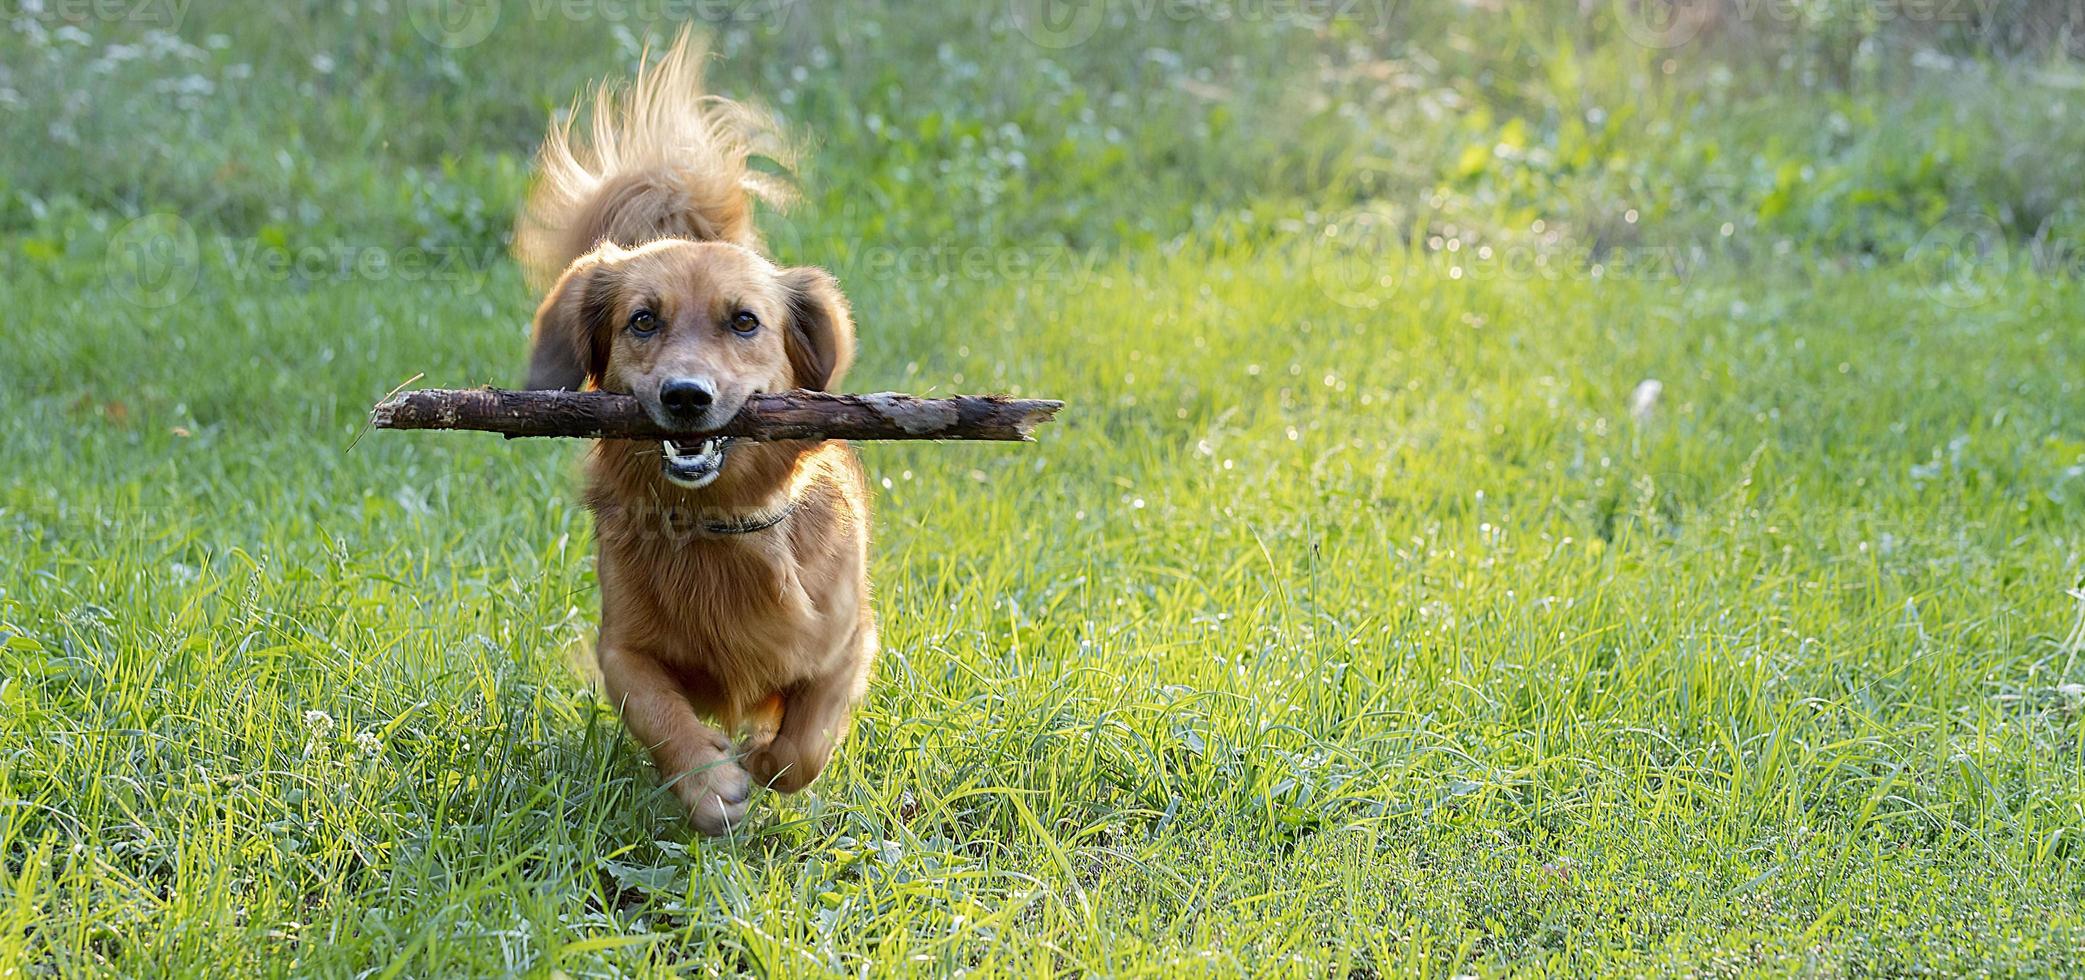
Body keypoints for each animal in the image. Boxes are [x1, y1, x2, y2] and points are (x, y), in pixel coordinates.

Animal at [521, 32, 879, 834]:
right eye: (642, 321)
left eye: (744, 321)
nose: (685, 397)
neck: (714, 524)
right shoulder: (621, 646)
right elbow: (655, 708)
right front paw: (710, 779)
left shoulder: (848, 643)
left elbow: (806, 740)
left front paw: (764, 761)